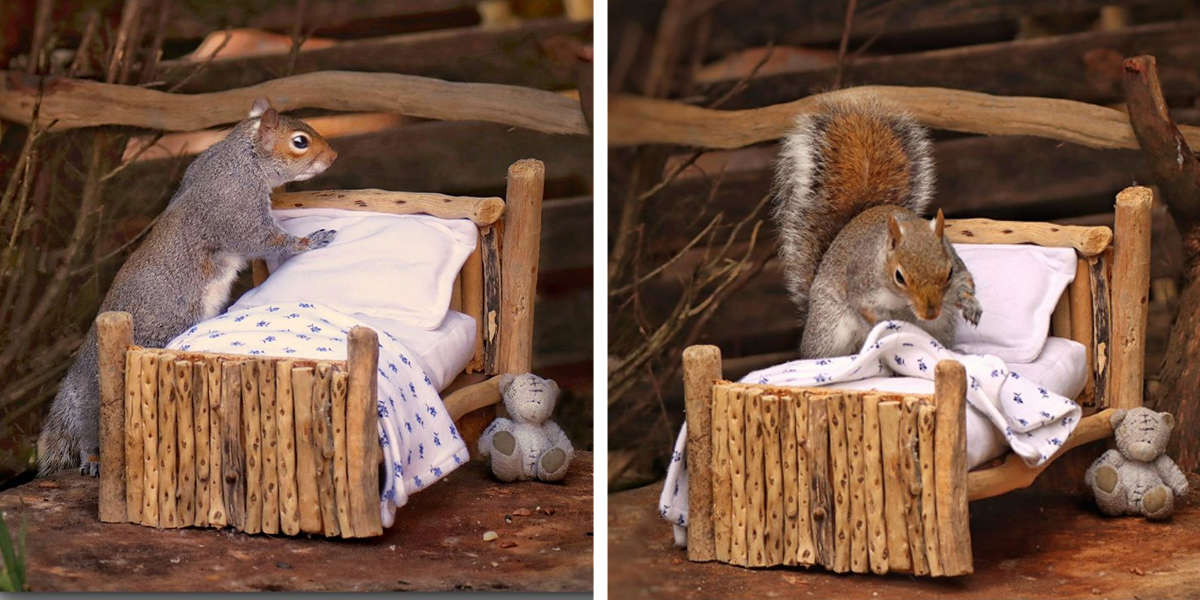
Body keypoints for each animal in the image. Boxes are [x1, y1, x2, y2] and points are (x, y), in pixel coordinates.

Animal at [37, 98, 339, 476]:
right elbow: (263, 239)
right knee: (94, 427)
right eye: (300, 142)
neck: (243, 157)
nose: (334, 156)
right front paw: (311, 241)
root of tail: (77, 375)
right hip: (103, 392)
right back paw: (92, 457)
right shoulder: (234, 207)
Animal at [771, 100, 982, 359]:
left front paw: (971, 304)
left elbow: (965, 280)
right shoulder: (862, 284)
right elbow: (867, 310)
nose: (930, 313)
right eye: (899, 276)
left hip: (941, 327)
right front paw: (892, 323)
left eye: (949, 272)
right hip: (829, 326)